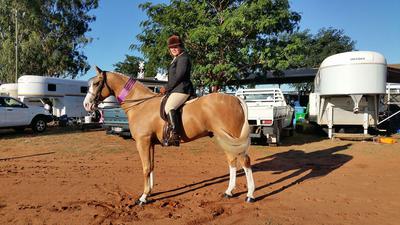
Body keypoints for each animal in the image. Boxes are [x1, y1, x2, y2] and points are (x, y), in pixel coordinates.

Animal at [83, 66, 256, 204]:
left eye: (96, 83)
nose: (86, 105)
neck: (140, 104)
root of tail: (235, 98)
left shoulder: (142, 142)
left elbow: (145, 167)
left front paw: (143, 197)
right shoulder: (150, 143)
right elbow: (151, 166)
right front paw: (150, 192)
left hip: (232, 139)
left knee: (244, 161)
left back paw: (250, 195)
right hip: (226, 140)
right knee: (232, 160)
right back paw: (229, 192)